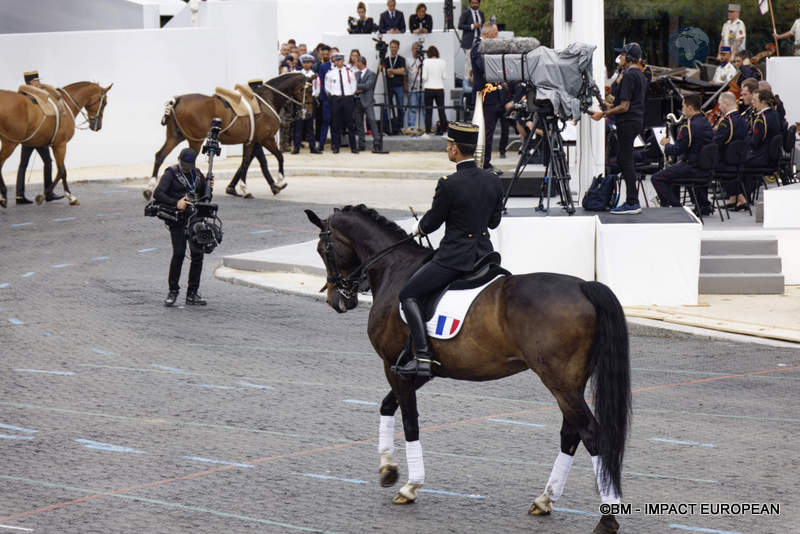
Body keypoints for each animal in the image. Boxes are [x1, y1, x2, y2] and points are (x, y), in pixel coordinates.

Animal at [147, 72, 312, 200]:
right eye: (309, 90)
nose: (309, 112)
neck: (267, 99)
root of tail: (178, 99)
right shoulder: (266, 139)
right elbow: (277, 157)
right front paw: (278, 181)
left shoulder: (251, 141)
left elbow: (248, 162)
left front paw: (242, 188)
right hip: (195, 141)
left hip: (175, 137)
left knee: (159, 156)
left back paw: (149, 188)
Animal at [304, 206, 632, 534]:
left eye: (322, 249)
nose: (337, 300)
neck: (394, 267)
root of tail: (584, 286)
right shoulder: (417, 372)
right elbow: (387, 406)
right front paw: (387, 469)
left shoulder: (393, 367)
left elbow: (410, 421)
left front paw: (410, 485)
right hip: (570, 383)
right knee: (571, 433)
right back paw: (545, 500)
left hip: (559, 381)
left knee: (590, 434)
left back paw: (607, 518)